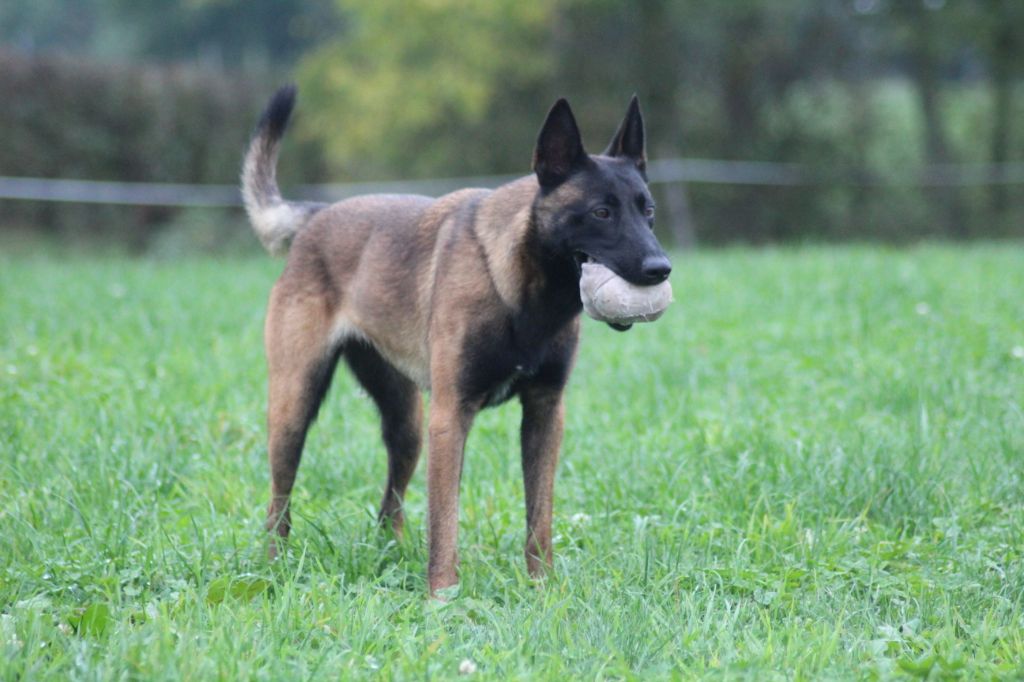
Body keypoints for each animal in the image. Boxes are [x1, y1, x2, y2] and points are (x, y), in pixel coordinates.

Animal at [239, 84, 671, 593]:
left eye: (648, 212)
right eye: (601, 213)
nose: (660, 269)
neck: (521, 293)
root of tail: (317, 217)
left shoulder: (544, 414)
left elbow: (539, 517)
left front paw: (542, 589)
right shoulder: (451, 416)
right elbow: (444, 520)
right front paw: (443, 596)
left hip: (406, 424)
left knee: (390, 505)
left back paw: (390, 556)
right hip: (294, 408)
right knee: (279, 502)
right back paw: (274, 568)